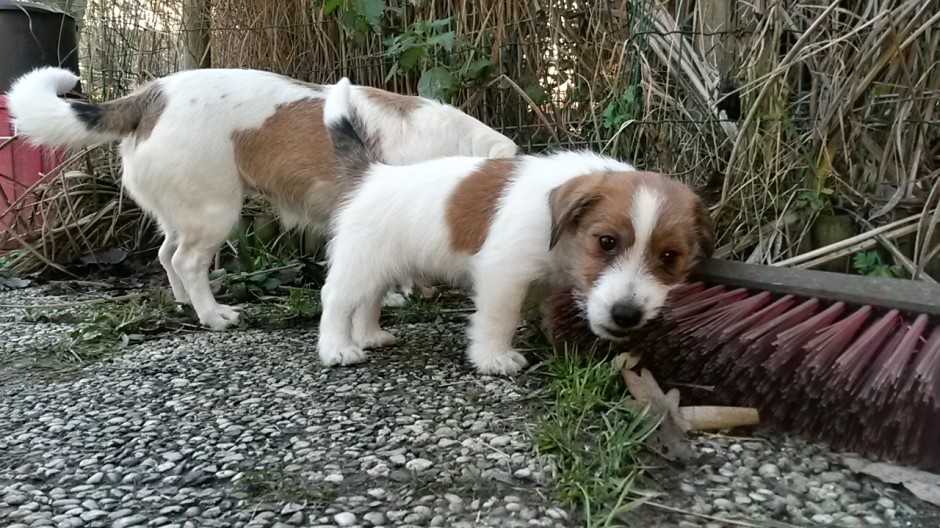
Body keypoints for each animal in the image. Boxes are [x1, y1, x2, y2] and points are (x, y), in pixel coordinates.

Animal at [5, 66, 516, 330]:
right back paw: (213, 316)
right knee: (188, 263)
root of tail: (151, 96)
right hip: (216, 212)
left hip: (183, 213)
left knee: (167, 256)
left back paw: (183, 305)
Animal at [316, 78, 712, 376]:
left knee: (368, 301)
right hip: (358, 265)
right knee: (335, 299)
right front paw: (494, 358)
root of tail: (372, 173)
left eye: (670, 257)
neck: (557, 233)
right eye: (607, 242)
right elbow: (500, 318)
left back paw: (369, 335)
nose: (626, 316)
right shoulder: (503, 274)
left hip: (379, 267)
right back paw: (337, 348)